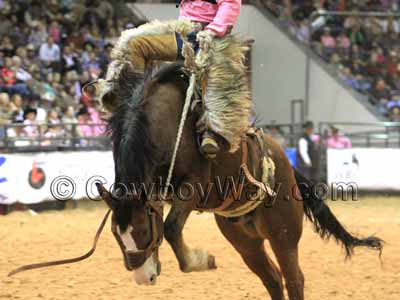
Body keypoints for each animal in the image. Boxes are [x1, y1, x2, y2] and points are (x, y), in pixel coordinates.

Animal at [96, 62, 382, 298]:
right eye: (116, 235)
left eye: (143, 232)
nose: (142, 278)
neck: (165, 124)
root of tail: (287, 165)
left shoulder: (193, 185)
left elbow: (171, 228)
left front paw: (203, 260)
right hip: (245, 242)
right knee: (273, 278)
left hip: (284, 235)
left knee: (294, 279)